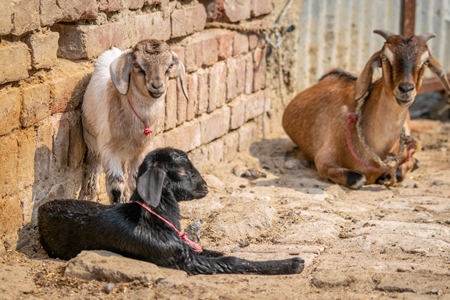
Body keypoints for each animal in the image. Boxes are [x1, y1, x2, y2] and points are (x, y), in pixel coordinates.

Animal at [80, 39, 187, 204]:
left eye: (169, 66)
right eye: (137, 66)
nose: (157, 86)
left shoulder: (143, 150)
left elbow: (139, 180)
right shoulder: (110, 151)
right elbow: (116, 187)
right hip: (92, 141)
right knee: (95, 170)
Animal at [284, 30, 448, 190]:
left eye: (426, 61)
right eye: (385, 57)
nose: (406, 89)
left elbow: (399, 172)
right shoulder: (323, 160)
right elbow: (357, 179)